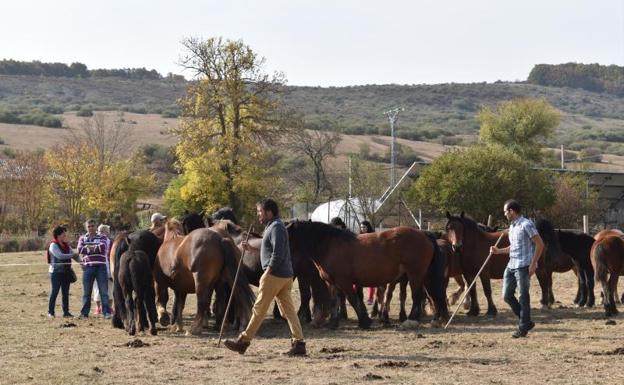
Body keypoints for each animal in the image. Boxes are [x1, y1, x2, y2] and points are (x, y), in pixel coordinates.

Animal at [288, 220, 448, 328]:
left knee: (417, 296)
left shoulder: (344, 281)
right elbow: (334, 301)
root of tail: (424, 234)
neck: (329, 245)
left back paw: (411, 320)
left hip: (415, 274)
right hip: (424, 276)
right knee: (432, 295)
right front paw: (333, 323)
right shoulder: (332, 282)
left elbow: (353, 299)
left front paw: (364, 321)